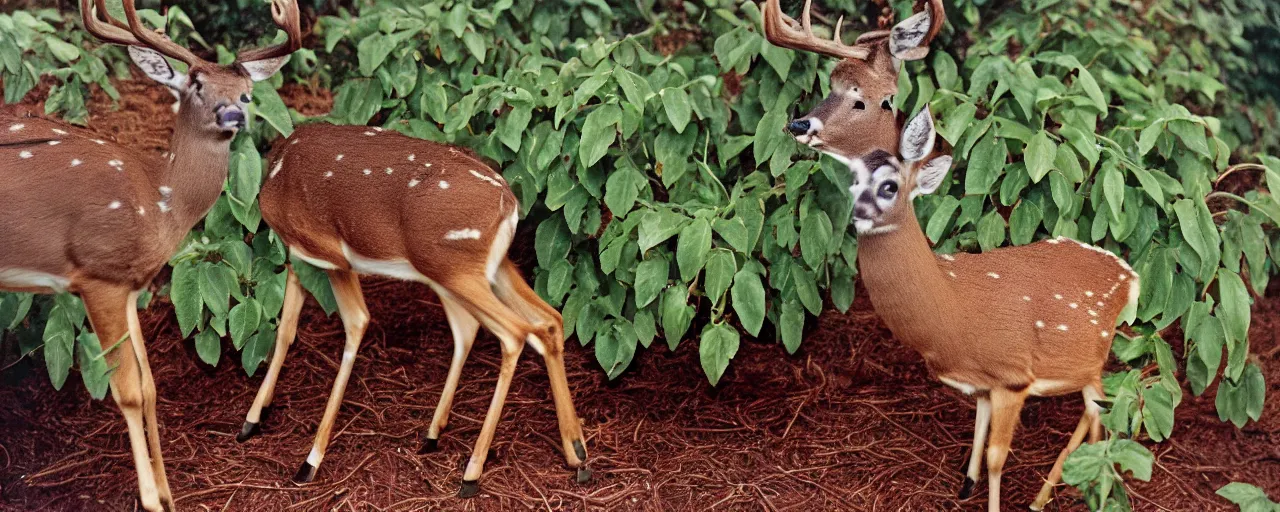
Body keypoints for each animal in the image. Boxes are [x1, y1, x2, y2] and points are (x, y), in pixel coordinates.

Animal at [0, 2, 302, 509]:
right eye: (196, 84)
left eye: (246, 93)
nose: (232, 114)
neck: (161, 202)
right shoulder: (98, 274)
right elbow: (126, 392)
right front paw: (149, 499)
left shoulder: (132, 283)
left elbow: (150, 385)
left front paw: (168, 495)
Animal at [230, 122, 588, 496]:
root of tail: (510, 203)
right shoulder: (297, 257)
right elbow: (285, 330)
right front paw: (252, 420)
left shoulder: (330, 254)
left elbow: (356, 323)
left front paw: (310, 460)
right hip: (481, 268)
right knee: (544, 321)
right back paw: (573, 453)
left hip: (451, 266)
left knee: (515, 333)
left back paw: (471, 472)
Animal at [834, 106, 1146, 509]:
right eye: (853, 182)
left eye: (890, 186)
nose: (857, 213)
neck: (953, 305)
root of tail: (1131, 276)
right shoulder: (983, 383)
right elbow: (979, 428)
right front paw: (966, 485)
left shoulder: (1012, 375)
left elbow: (997, 457)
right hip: (1087, 362)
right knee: (1096, 406)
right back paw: (1049, 494)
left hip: (1092, 353)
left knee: (1099, 408)